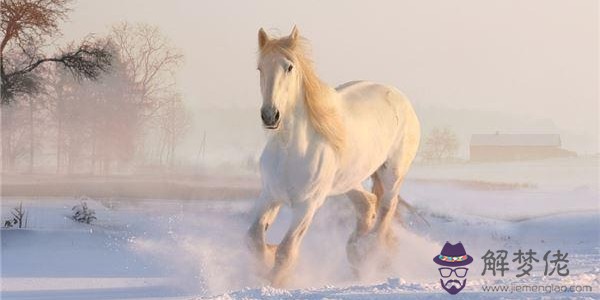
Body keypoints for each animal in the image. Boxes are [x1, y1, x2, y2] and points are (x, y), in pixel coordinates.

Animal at [246, 26, 420, 286]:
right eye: (260, 68)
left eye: (289, 67)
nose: (270, 115)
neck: (290, 151)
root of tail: (400, 97)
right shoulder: (270, 195)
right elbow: (254, 239)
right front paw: (266, 259)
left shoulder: (307, 206)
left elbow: (286, 251)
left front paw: (274, 281)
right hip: (348, 180)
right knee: (367, 204)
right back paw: (356, 252)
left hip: (393, 173)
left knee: (387, 207)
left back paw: (368, 252)